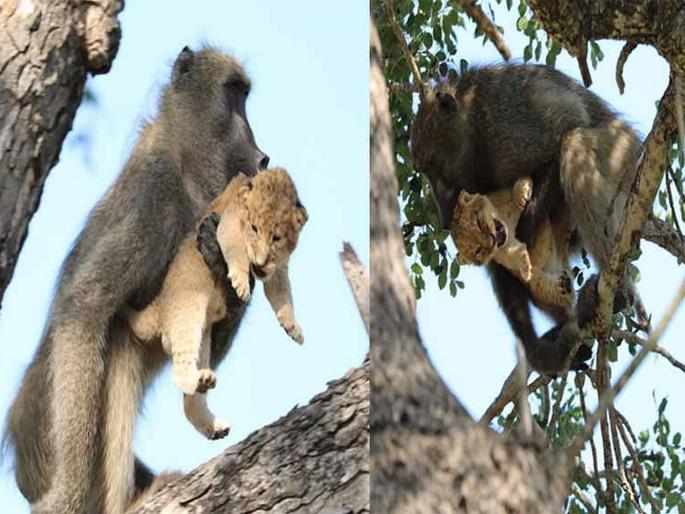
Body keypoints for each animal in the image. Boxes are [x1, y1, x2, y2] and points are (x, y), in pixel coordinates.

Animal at [4, 45, 270, 513]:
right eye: (235, 94)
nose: (262, 157)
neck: (184, 162)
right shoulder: (153, 196)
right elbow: (85, 306)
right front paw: (69, 496)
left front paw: (221, 261)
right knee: (116, 341)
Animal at [125, 168, 308, 440]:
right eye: (254, 228)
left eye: (276, 237)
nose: (260, 263)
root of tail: (158, 308)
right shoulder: (227, 224)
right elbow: (235, 250)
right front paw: (240, 282)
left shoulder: (278, 267)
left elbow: (282, 293)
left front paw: (292, 326)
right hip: (188, 310)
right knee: (179, 369)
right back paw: (197, 381)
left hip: (203, 341)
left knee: (190, 402)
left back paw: (213, 423)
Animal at [451, 177, 575, 323]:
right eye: (478, 251)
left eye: (479, 223)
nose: (492, 240)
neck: (506, 222)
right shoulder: (504, 256)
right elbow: (515, 255)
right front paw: (524, 264)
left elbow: (514, 195)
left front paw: (523, 189)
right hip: (538, 286)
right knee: (564, 297)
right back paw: (564, 285)